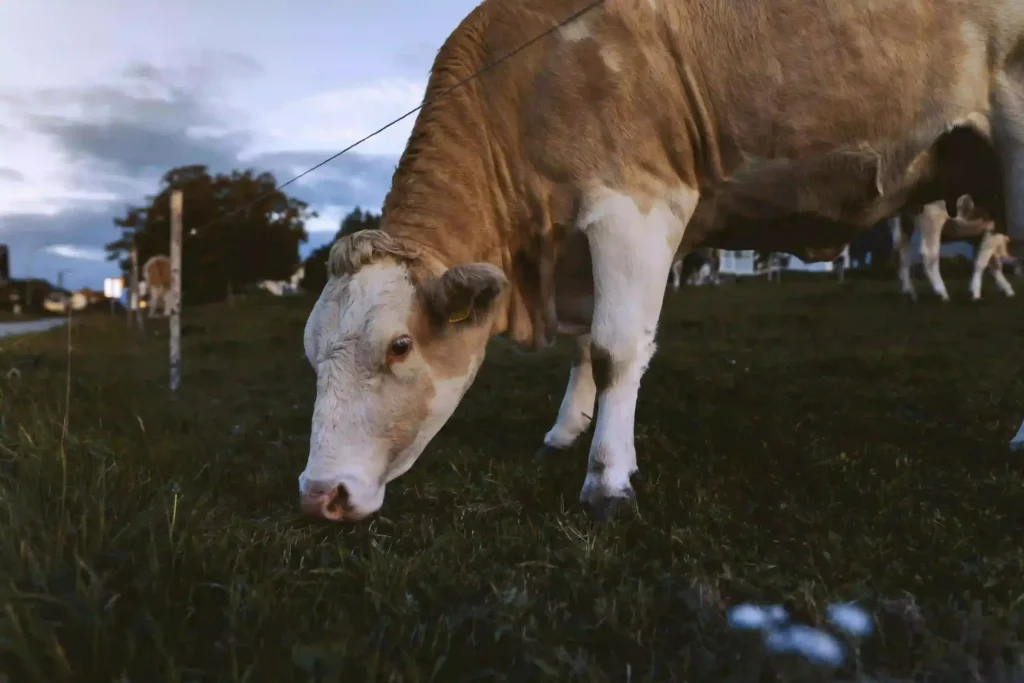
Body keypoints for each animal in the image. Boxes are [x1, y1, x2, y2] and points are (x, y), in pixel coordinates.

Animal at [299, 0, 1024, 524]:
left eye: (399, 345)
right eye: (310, 353)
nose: (318, 493)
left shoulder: (636, 201)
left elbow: (616, 348)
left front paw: (608, 479)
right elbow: (584, 346)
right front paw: (565, 431)